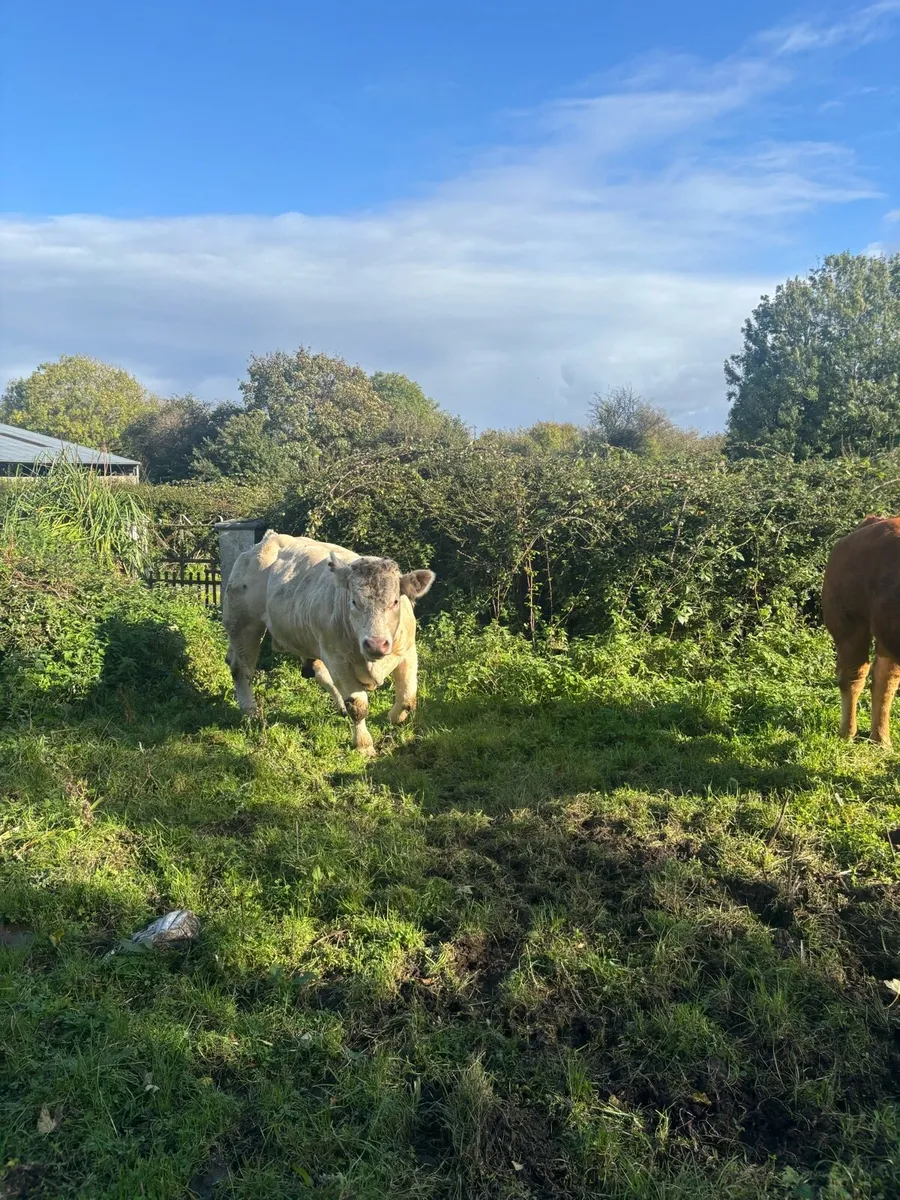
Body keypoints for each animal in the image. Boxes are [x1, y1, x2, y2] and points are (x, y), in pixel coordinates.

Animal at [223, 531, 435, 755]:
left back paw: (339, 706)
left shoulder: (408, 652)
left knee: (318, 671)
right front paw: (364, 745)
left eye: (394, 602)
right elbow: (358, 706)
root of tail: (269, 537)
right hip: (244, 624)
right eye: (354, 602)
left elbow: (408, 698)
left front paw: (394, 718)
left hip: (306, 636)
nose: (376, 644)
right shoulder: (338, 659)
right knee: (241, 669)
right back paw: (250, 712)